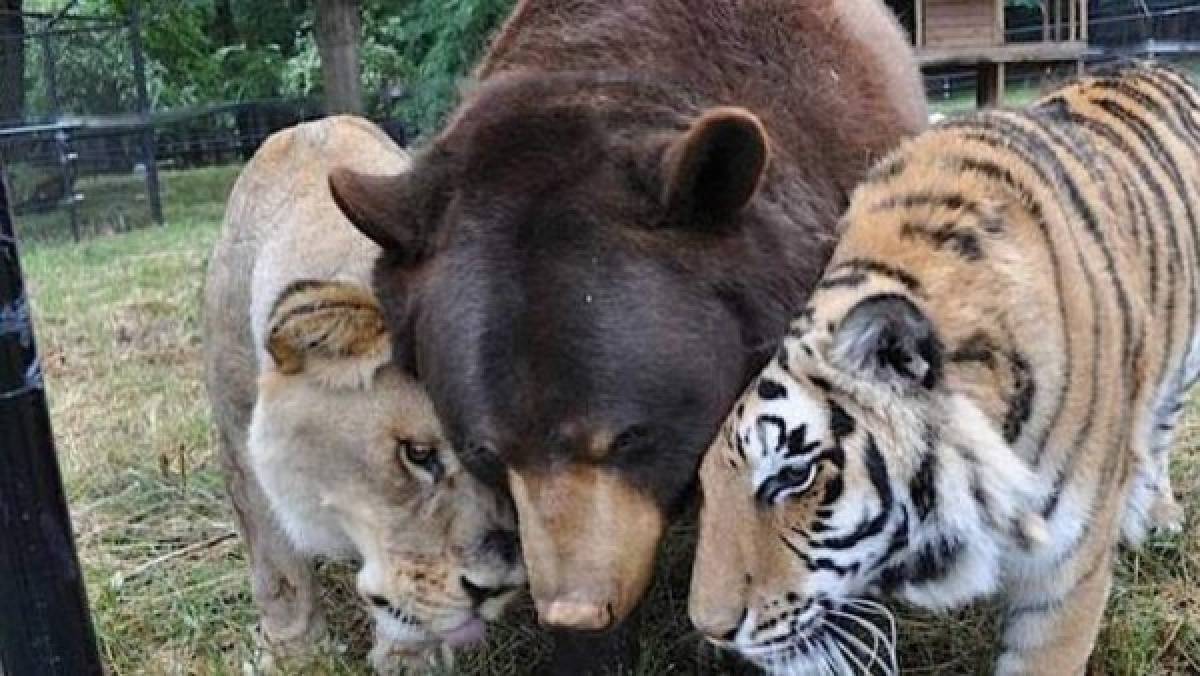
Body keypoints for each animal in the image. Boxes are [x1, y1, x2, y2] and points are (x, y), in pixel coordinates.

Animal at [201, 116, 525, 672]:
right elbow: (276, 567)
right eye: (417, 454)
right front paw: (293, 653)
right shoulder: (237, 436)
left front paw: (408, 659)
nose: (497, 588)